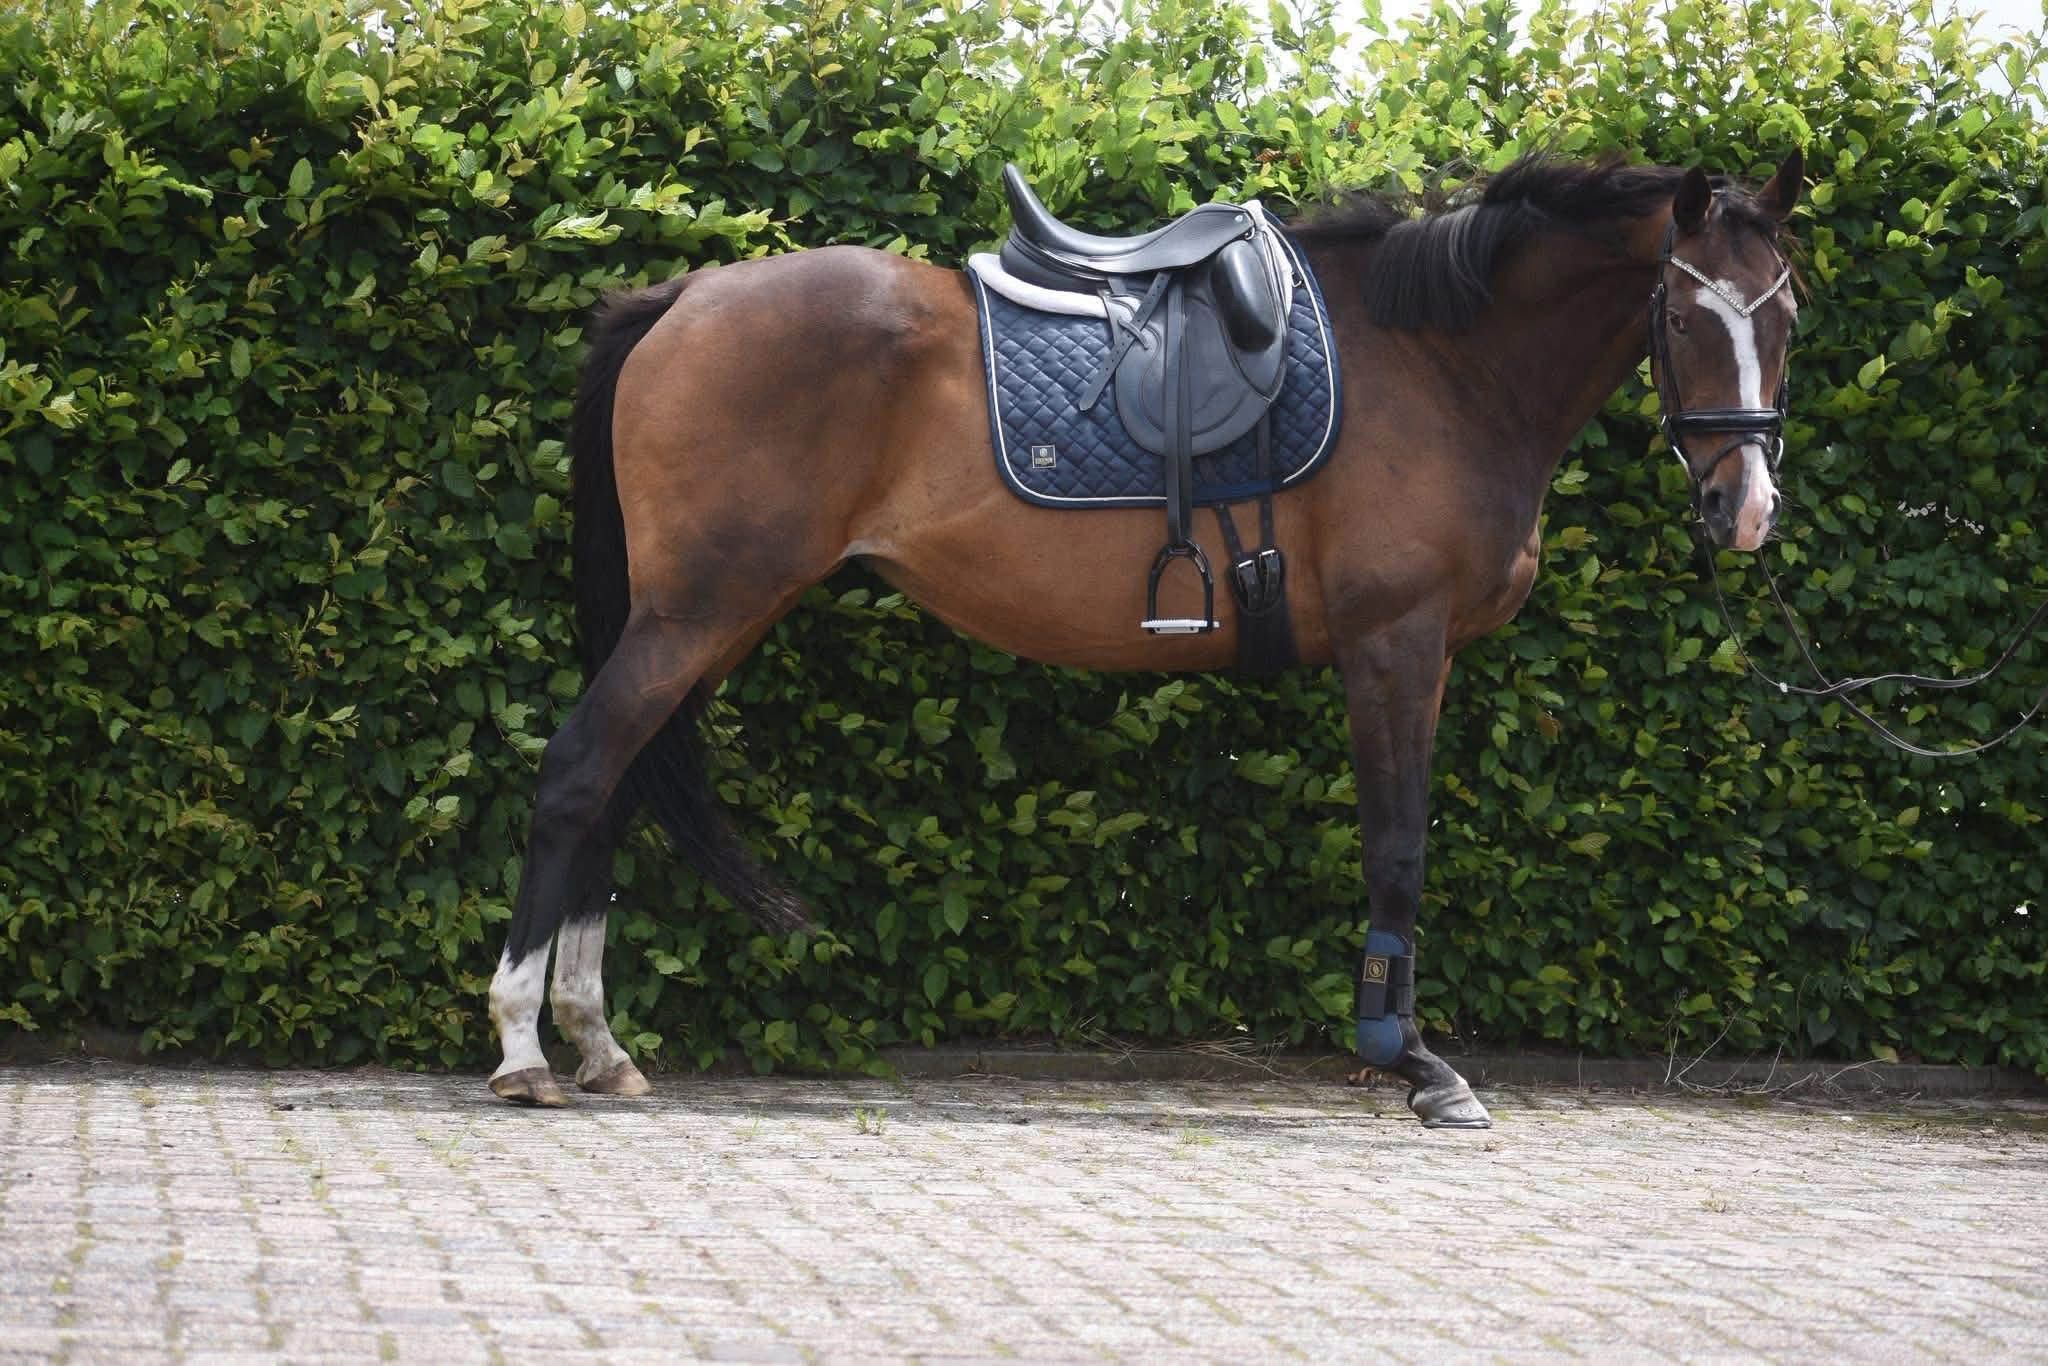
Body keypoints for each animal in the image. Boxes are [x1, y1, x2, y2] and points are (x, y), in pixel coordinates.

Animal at [484, 149, 1805, 1129]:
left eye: (1785, 312)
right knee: (579, 771)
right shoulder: (1394, 642)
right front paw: (1410, 1060)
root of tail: (682, 298)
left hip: (711, 613)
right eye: (1681, 311)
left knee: (618, 784)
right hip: (696, 607)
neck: (1437, 364)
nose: (1740, 509)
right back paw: (522, 1047)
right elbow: (1398, 849)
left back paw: (597, 1044)